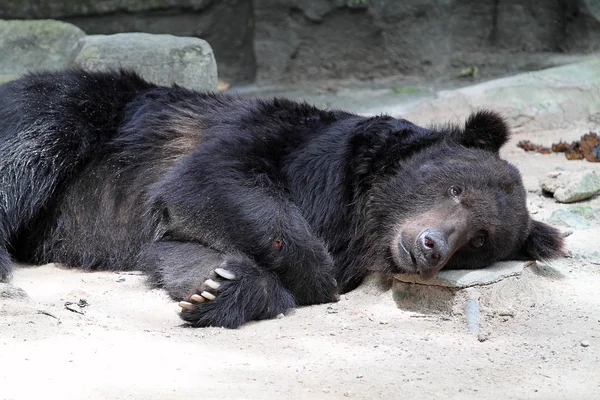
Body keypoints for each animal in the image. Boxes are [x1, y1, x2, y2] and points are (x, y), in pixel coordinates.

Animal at [0, 70, 564, 326]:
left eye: (480, 239)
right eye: (455, 188)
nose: (430, 245)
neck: (361, 215)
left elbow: (174, 249)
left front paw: (216, 287)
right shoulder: (291, 145)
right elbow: (214, 181)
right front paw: (316, 278)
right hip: (83, 112)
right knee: (34, 142)